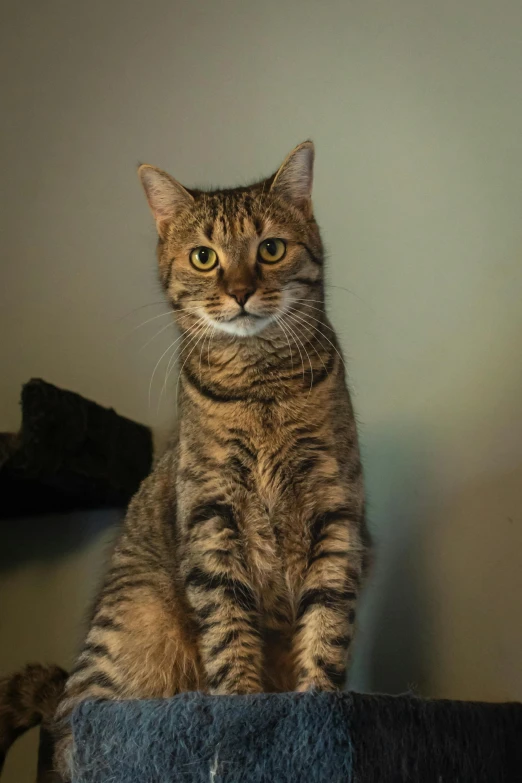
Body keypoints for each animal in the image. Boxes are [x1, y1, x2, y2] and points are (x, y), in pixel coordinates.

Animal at [0, 141, 370, 776]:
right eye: (204, 257)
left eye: (270, 249)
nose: (241, 290)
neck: (260, 387)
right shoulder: (210, 515)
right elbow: (227, 627)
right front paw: (242, 707)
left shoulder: (335, 511)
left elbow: (326, 626)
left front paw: (317, 709)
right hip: (131, 632)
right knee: (80, 720)